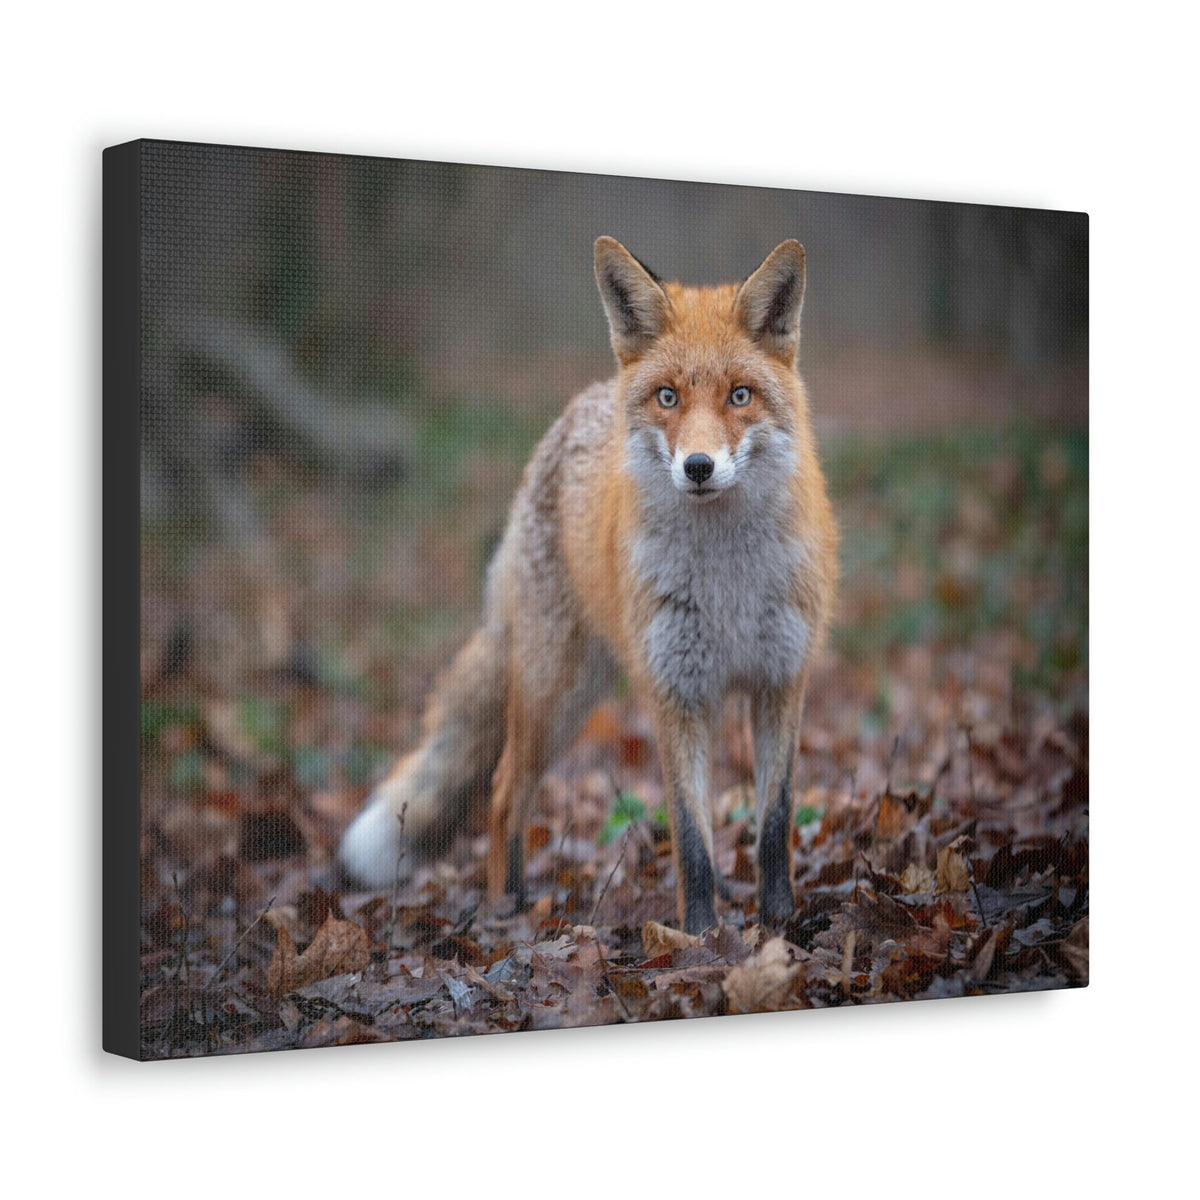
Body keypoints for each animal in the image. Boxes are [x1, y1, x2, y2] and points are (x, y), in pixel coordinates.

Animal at [339, 237, 838, 934]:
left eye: (740, 396)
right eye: (667, 398)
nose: (699, 467)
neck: (726, 583)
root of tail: (578, 407)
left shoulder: (780, 681)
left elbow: (773, 823)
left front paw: (778, 925)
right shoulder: (675, 692)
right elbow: (690, 836)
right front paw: (700, 937)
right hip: (556, 694)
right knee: (503, 792)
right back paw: (507, 908)